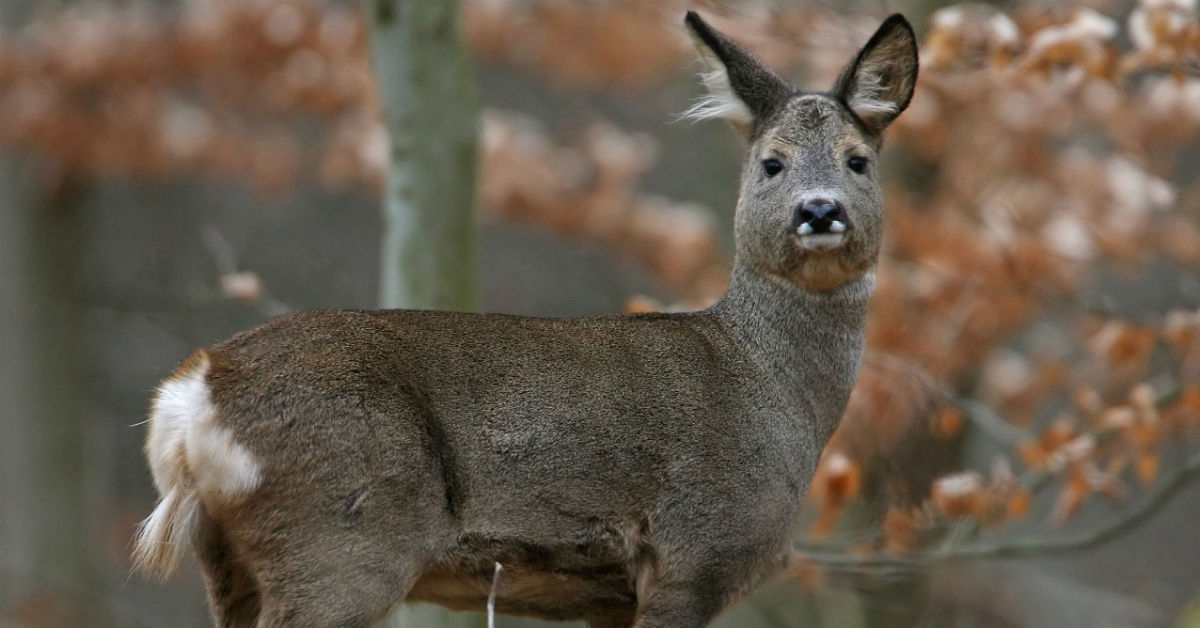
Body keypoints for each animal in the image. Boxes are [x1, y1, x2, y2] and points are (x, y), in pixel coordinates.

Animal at [133, 11, 916, 628]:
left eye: (858, 161)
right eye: (771, 164)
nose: (820, 210)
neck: (773, 387)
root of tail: (196, 389)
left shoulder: (614, 595)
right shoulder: (693, 548)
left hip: (230, 562)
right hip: (339, 538)